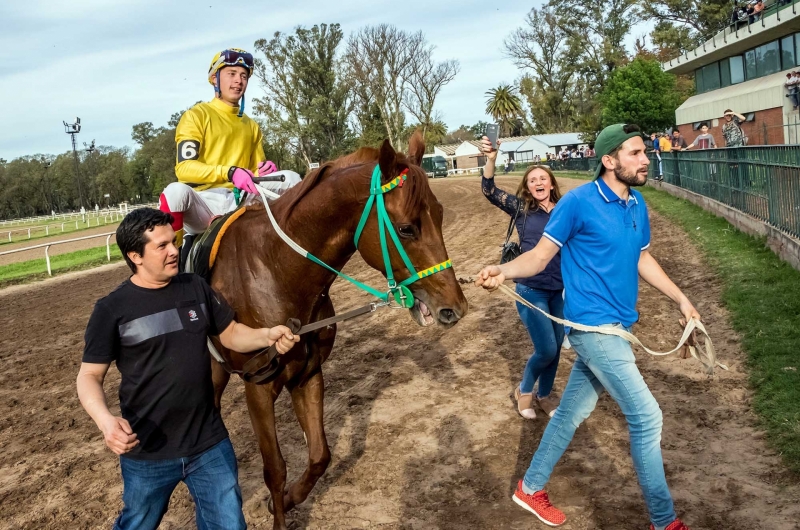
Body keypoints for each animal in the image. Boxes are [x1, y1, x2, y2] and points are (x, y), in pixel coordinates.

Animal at [208, 133, 468, 528]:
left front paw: (289, 498)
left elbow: (320, 455)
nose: (455, 307)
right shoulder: (258, 388)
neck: (274, 269)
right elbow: (275, 469)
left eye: (439, 215)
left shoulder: (307, 373)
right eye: (407, 227)